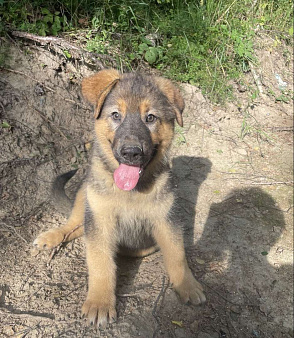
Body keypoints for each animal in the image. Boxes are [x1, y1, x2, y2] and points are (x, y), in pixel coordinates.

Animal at [33, 69, 206, 328]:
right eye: (116, 115)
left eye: (150, 118)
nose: (131, 153)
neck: (131, 192)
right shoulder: (100, 220)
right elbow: (100, 263)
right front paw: (100, 303)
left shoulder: (166, 220)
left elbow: (177, 256)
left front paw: (188, 285)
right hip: (85, 195)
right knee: (73, 224)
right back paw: (51, 236)